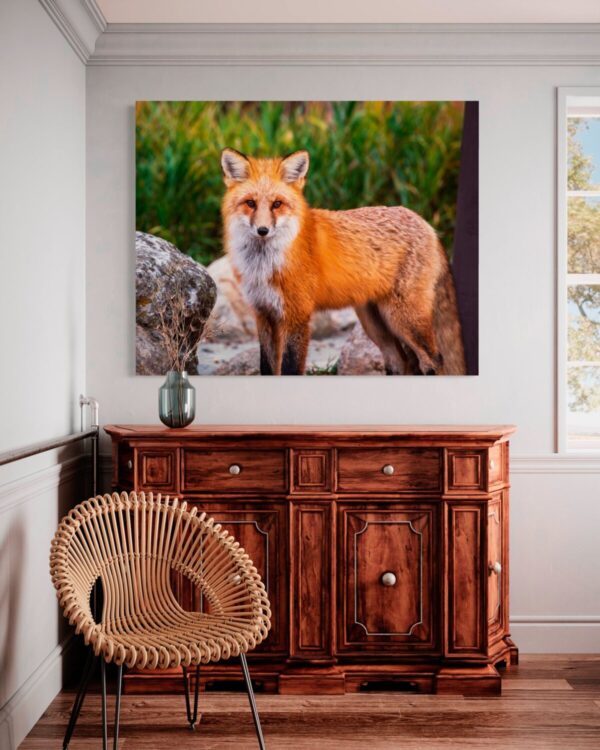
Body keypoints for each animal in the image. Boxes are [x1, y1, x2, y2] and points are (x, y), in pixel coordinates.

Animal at [223, 147, 466, 376]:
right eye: (250, 203)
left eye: (277, 204)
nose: (262, 230)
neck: (265, 265)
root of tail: (426, 223)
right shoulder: (264, 314)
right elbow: (266, 368)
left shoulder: (296, 316)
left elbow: (291, 369)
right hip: (375, 324)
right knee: (400, 362)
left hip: (403, 318)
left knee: (434, 360)